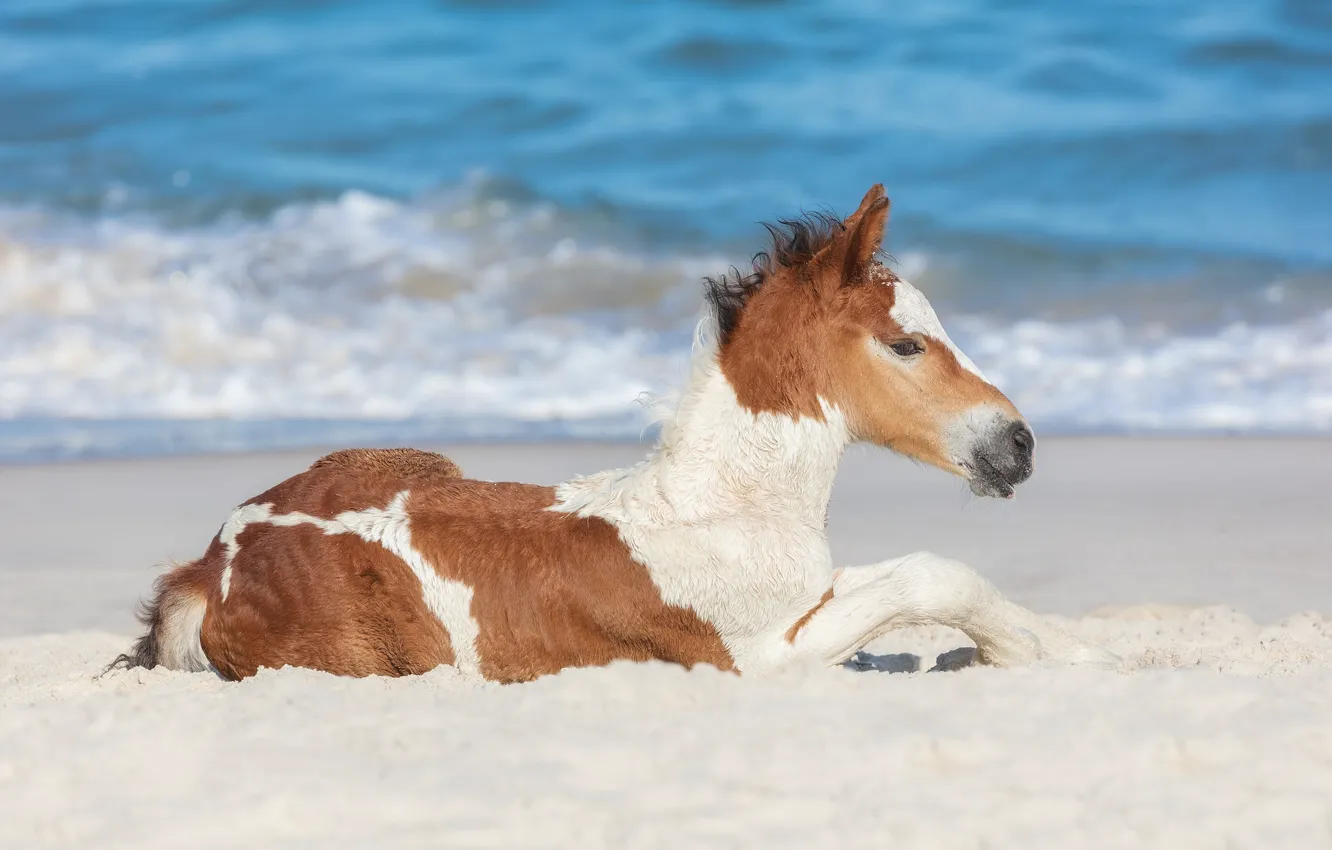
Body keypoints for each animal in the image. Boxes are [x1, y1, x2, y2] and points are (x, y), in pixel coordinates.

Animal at [112, 184, 1117, 683]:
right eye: (906, 343)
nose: (1018, 443)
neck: (720, 507)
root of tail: (215, 559)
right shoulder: (756, 657)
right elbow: (929, 574)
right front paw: (1026, 654)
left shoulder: (809, 595)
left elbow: (930, 574)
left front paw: (1060, 650)